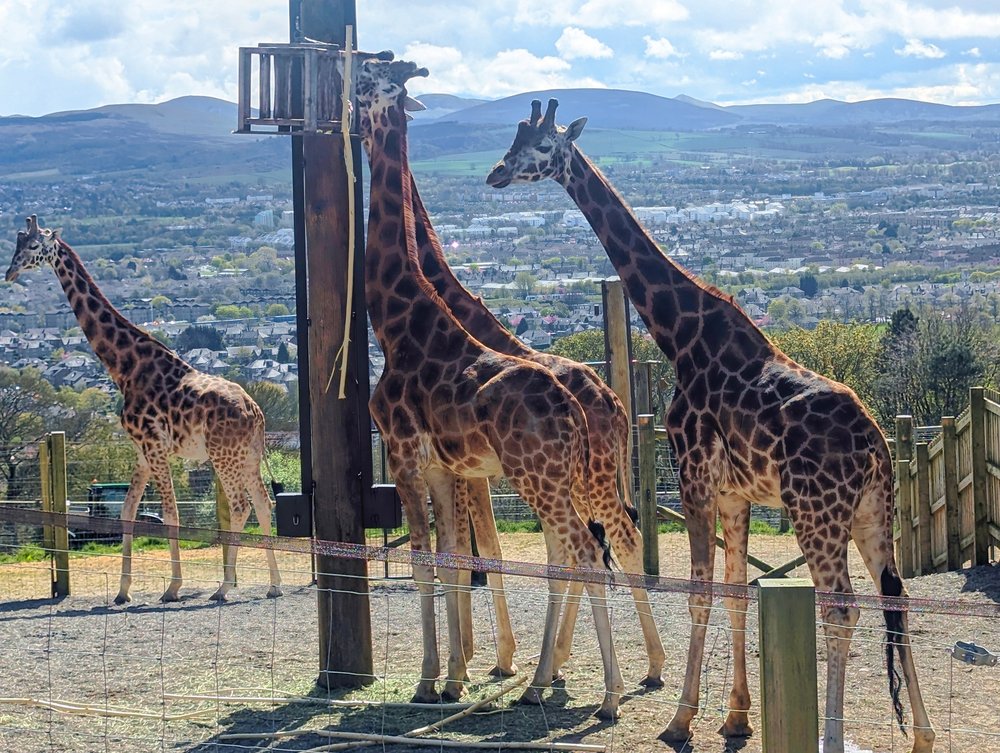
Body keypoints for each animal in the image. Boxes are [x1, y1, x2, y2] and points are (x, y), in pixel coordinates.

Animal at [6, 216, 282, 605]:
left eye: (32, 247)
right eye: (16, 244)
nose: (10, 273)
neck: (125, 366)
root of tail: (255, 411)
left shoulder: (155, 447)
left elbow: (170, 513)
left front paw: (173, 587)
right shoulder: (140, 452)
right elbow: (126, 512)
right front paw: (123, 591)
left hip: (222, 455)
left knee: (241, 505)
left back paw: (224, 586)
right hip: (248, 454)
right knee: (262, 503)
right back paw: (273, 584)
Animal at [355, 58, 625, 717]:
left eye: (372, 77)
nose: (345, 95)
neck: (399, 323)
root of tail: (590, 405)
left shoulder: (405, 453)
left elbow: (429, 561)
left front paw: (433, 678)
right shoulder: (448, 468)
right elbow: (459, 558)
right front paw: (458, 675)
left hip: (544, 478)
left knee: (590, 552)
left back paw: (603, 692)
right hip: (561, 479)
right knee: (583, 551)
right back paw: (566, 679)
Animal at [487, 99, 935, 753]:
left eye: (540, 148)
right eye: (513, 142)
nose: (495, 173)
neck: (680, 337)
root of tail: (876, 446)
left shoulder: (696, 480)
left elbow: (700, 595)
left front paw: (680, 720)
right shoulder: (734, 495)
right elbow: (734, 593)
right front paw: (736, 717)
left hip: (817, 514)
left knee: (842, 608)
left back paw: (832, 737)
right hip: (874, 512)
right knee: (894, 597)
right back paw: (923, 735)